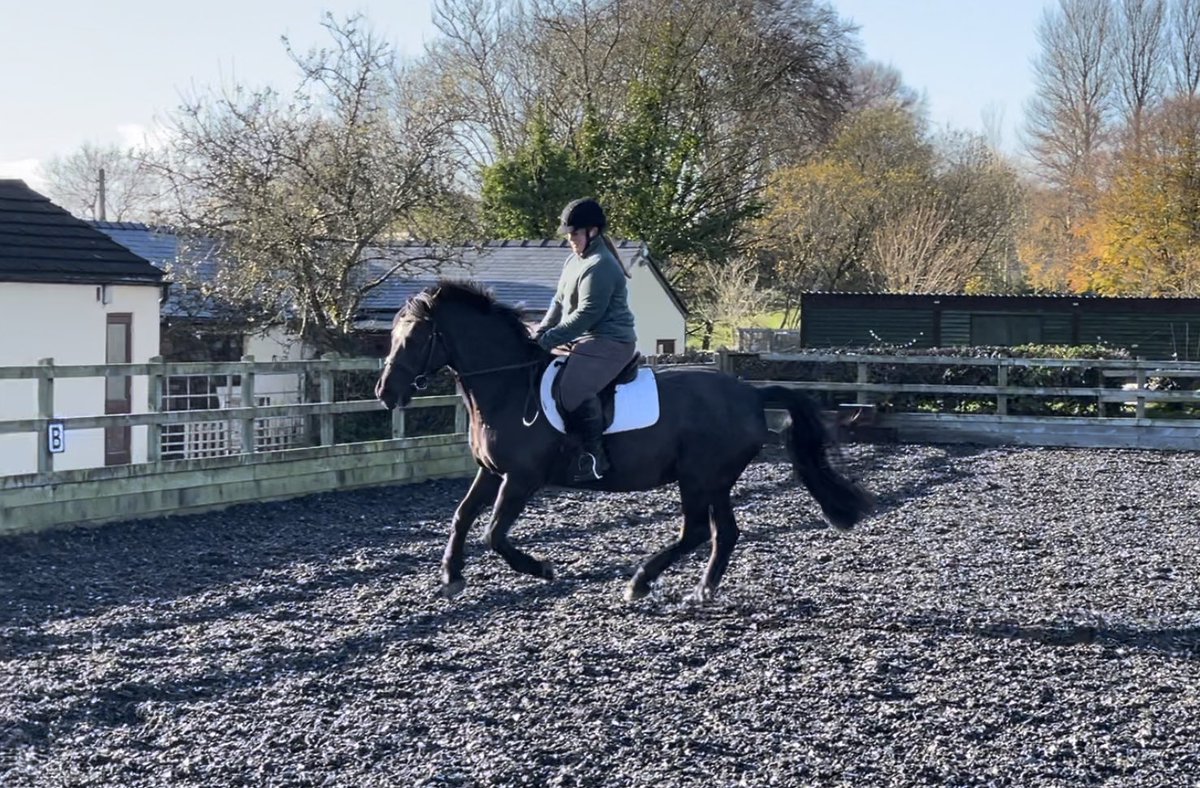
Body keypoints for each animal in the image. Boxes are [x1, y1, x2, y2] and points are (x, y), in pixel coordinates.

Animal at [375, 280, 874, 602]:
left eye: (415, 336)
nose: (385, 393)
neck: (508, 388)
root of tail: (750, 393)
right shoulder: (490, 472)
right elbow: (461, 518)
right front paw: (451, 577)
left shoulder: (521, 479)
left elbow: (494, 533)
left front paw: (542, 568)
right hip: (714, 480)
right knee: (723, 532)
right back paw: (702, 589)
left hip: (698, 478)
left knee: (696, 531)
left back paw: (641, 583)